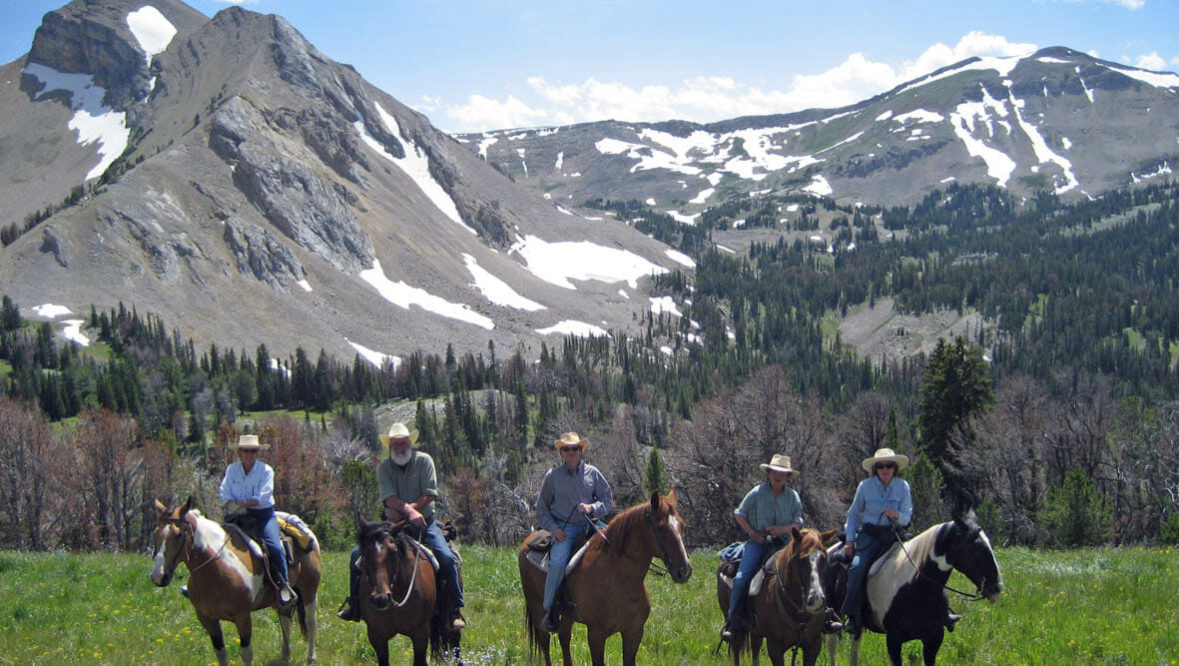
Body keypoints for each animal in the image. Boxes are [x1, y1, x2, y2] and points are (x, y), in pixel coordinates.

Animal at [150, 497, 321, 665]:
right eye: (155, 533)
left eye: (178, 534)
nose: (158, 576)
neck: (215, 571)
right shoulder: (207, 618)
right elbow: (220, 652)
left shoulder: (243, 617)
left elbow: (246, 654)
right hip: (281, 600)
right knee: (285, 620)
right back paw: (285, 657)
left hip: (309, 589)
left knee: (311, 622)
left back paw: (311, 658)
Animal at [353, 518, 460, 666]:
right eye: (364, 553)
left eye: (393, 552)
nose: (380, 599)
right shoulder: (376, 635)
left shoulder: (420, 633)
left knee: (456, 640)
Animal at [519, 490, 694, 666]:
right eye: (661, 527)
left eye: (682, 525)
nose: (684, 570)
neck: (620, 581)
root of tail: (527, 542)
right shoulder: (596, 634)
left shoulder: (634, 632)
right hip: (537, 608)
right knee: (545, 643)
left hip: (567, 615)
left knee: (564, 638)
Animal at [716, 527, 839, 666]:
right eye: (801, 559)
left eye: (824, 558)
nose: (816, 601)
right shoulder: (775, 647)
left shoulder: (814, 645)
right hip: (735, 627)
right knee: (736, 649)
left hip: (756, 631)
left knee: (755, 649)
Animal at [824, 512, 1004, 666]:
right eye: (976, 548)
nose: (996, 588)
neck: (916, 590)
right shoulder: (893, 641)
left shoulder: (933, 639)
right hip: (833, 614)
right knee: (832, 645)